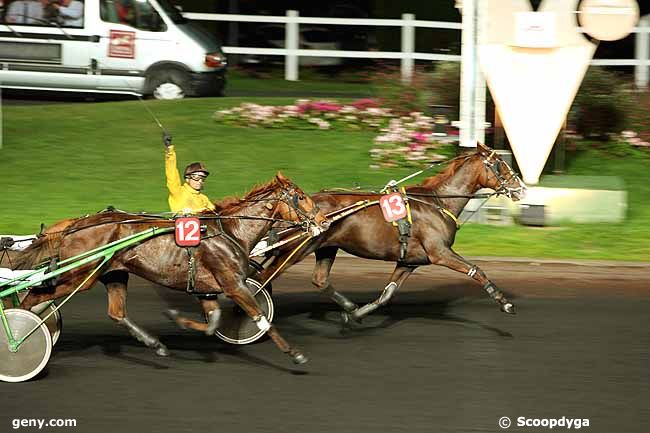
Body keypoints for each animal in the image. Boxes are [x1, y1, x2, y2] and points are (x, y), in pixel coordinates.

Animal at [13, 172, 330, 364]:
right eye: (301, 196)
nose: (324, 220)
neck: (229, 230)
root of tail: (76, 224)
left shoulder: (207, 290)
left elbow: (212, 323)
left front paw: (175, 317)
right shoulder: (233, 285)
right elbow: (262, 318)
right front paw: (295, 354)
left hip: (114, 273)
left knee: (116, 312)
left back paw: (155, 344)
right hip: (79, 275)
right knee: (34, 297)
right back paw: (19, 333)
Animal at [256, 143, 524, 322]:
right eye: (500, 164)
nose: (521, 188)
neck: (437, 202)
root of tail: (294, 209)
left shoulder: (409, 261)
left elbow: (387, 294)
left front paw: (356, 314)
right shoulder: (439, 253)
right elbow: (476, 270)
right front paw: (505, 303)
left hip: (326, 247)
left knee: (319, 279)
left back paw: (348, 306)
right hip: (297, 249)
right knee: (262, 280)